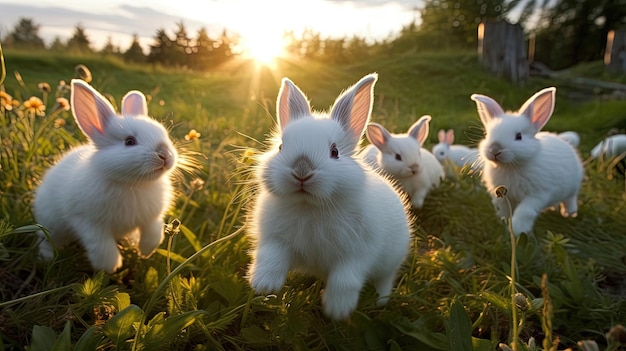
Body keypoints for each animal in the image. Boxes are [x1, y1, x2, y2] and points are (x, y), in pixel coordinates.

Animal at [33, 80, 177, 276]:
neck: (133, 184)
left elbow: (153, 233)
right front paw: (109, 269)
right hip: (50, 223)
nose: (165, 155)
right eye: (129, 141)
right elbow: (103, 247)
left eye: (164, 134)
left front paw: (145, 251)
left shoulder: (152, 218)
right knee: (46, 239)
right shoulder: (89, 223)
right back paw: (46, 258)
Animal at [246, 74, 412, 322]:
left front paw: (337, 309)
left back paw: (380, 302)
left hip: (390, 263)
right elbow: (271, 257)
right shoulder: (275, 239)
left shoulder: (357, 254)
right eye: (281, 147)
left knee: (384, 280)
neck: (310, 207)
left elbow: (345, 279)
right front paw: (264, 286)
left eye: (335, 152)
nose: (301, 170)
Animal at [470, 86, 584, 238]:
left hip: (572, 187)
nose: (495, 149)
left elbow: (525, 211)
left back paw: (569, 214)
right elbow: (505, 212)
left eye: (519, 136)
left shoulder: (537, 194)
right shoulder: (502, 197)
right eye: (487, 135)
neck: (510, 166)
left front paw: (517, 230)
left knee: (570, 200)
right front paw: (505, 223)